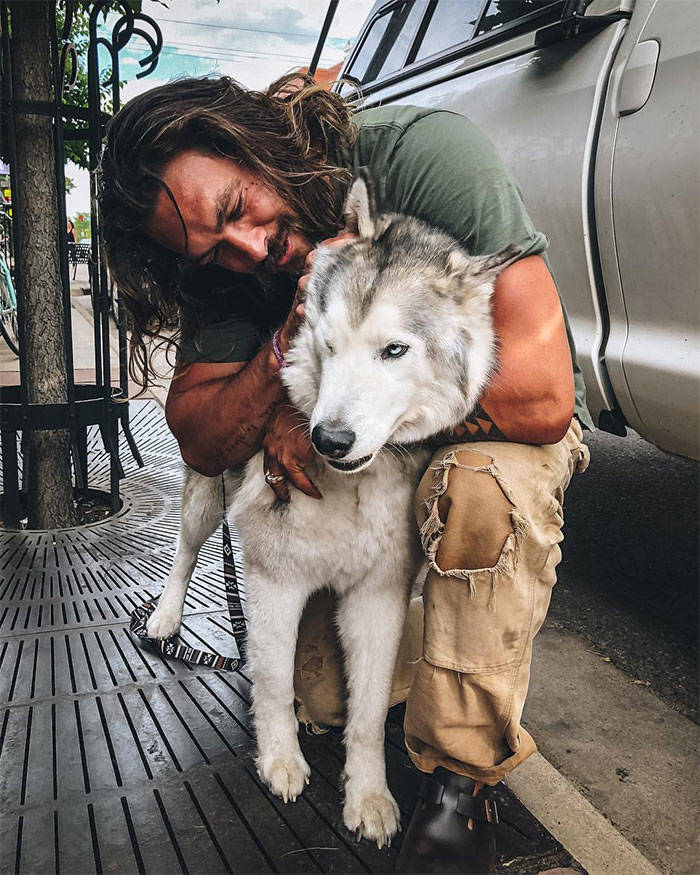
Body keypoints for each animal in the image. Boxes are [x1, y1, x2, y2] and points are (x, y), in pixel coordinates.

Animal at [146, 175, 520, 844]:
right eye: (326, 344)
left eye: (395, 350)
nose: (327, 440)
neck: (354, 485)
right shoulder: (274, 580)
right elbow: (271, 680)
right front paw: (280, 760)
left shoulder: (379, 596)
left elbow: (367, 713)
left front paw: (368, 796)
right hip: (206, 492)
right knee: (186, 550)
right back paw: (164, 617)